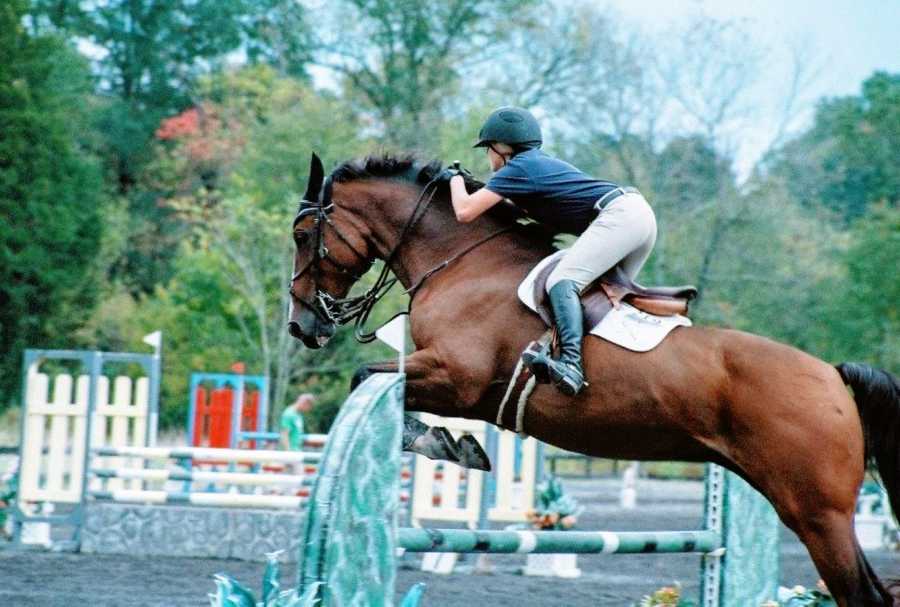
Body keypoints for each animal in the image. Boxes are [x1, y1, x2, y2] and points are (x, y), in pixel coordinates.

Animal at [288, 153, 900, 607]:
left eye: (302, 234)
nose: (302, 325)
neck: (461, 261)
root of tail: (831, 375)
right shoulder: (464, 390)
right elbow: (376, 382)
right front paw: (453, 443)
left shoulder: (455, 377)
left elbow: (364, 377)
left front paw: (444, 443)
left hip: (818, 515)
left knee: (862, 595)